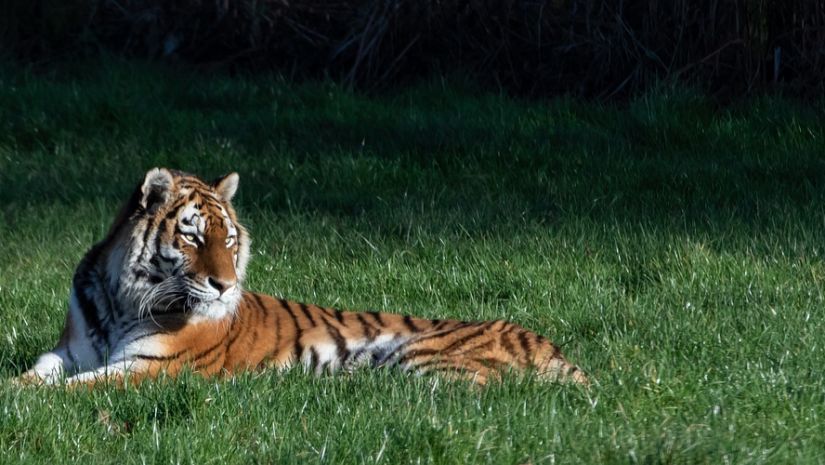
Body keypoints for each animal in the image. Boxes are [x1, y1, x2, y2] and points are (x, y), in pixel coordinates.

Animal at [17, 169, 584, 386]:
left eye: (229, 241)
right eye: (193, 237)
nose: (224, 286)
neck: (120, 300)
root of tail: (551, 345)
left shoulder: (151, 369)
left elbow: (73, 390)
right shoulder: (68, 352)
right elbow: (36, 375)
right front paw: (18, 389)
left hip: (425, 359)